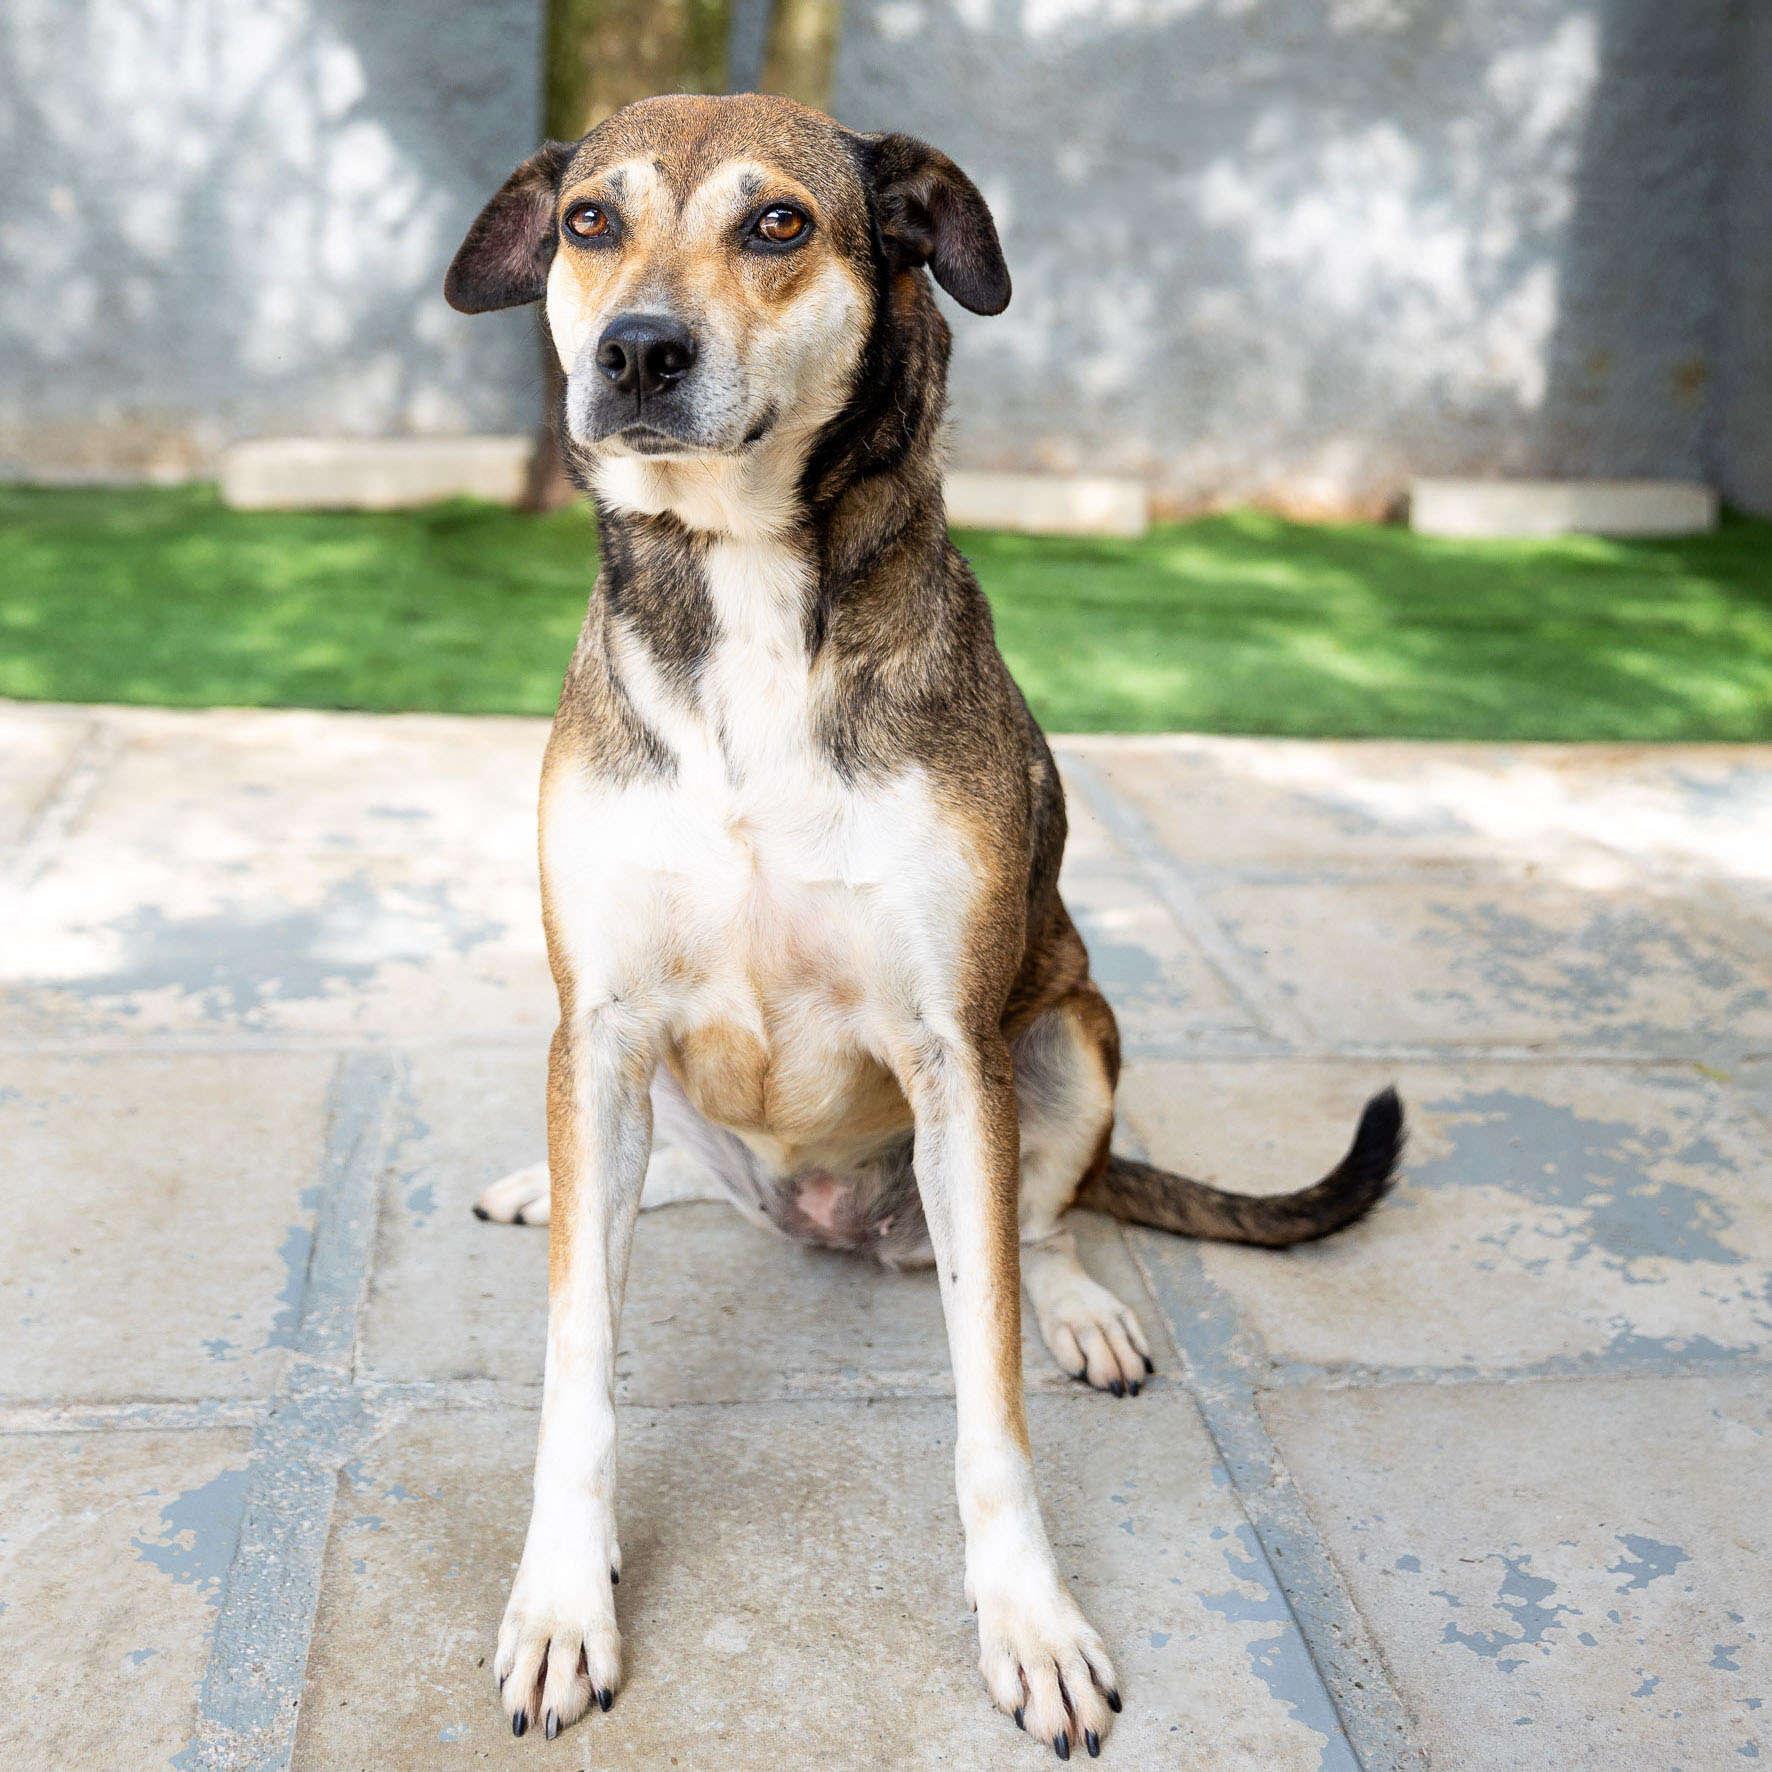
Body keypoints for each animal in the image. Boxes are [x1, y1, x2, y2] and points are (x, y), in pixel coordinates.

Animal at [444, 92, 1402, 1759]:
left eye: (778, 223)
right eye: (588, 222)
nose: (633, 352)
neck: (745, 589)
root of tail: (828, 1223)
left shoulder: (958, 1046)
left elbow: (989, 1395)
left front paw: (1031, 1622)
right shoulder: (603, 1020)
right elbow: (580, 1361)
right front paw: (564, 1597)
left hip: (1070, 1029)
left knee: (1045, 1216)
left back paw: (1081, 1306)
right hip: (631, 1084)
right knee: (665, 1184)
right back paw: (553, 1183)